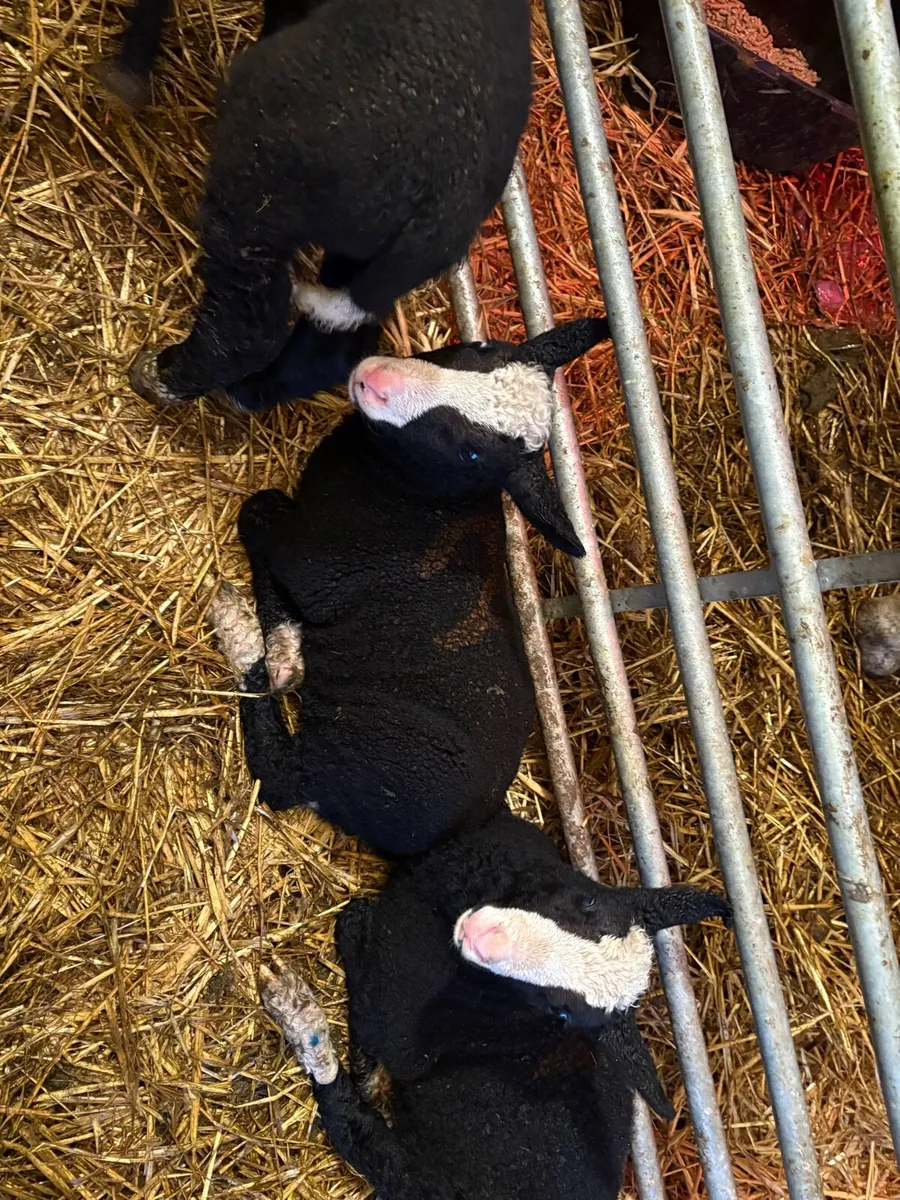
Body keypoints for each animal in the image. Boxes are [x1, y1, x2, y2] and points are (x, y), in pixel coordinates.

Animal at [116, 0, 535, 412]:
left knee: (247, 323)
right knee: (335, 341)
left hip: (261, 184)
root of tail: (444, 215)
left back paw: (162, 377)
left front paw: (127, 72)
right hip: (358, 250)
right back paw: (250, 390)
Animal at [208, 318, 610, 855]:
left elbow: (257, 516)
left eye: (472, 451)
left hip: (348, 756)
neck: (418, 495)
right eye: (478, 346)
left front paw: (275, 640)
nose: (377, 379)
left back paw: (247, 637)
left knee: (276, 774)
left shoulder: (312, 566)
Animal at [259, 808, 732, 1200]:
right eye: (588, 900)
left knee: (362, 1136)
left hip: (428, 1179)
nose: (485, 938)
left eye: (563, 1012)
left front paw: (353, 930)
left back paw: (302, 1020)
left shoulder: (402, 1016)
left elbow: (375, 1009)